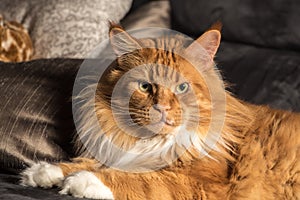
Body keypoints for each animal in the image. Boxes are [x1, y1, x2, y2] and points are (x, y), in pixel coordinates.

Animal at [19, 23, 300, 200]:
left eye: (182, 87)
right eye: (145, 86)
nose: (162, 108)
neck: (152, 142)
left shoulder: (204, 184)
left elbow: (141, 181)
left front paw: (82, 181)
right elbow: (88, 162)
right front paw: (45, 172)